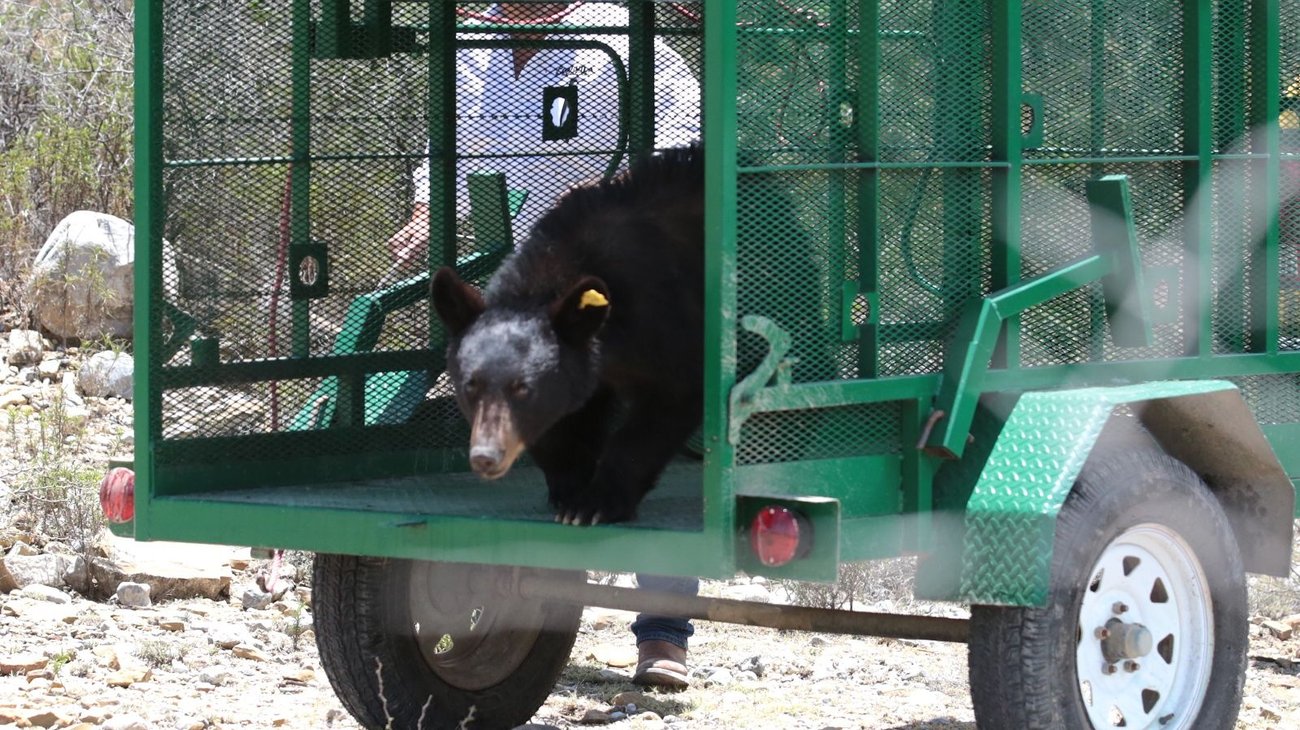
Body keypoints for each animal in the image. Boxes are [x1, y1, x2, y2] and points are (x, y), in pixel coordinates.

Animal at [432, 143, 706, 525]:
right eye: (471, 386)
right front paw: (570, 487)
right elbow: (567, 418)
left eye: (522, 388)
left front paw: (596, 503)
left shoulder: (664, 319)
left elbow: (671, 396)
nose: (485, 456)